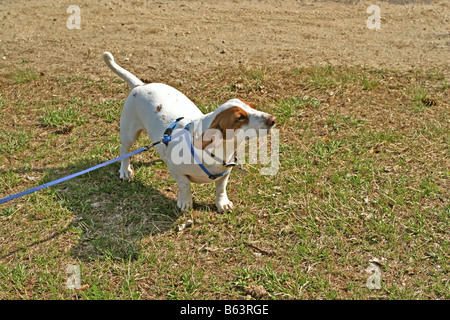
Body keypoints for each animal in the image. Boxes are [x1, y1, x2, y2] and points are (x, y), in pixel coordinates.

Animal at [102, 52, 276, 212]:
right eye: (240, 117)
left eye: (253, 106)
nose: (273, 119)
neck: (219, 151)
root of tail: (140, 86)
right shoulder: (176, 170)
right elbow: (184, 185)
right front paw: (185, 202)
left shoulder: (225, 174)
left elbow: (221, 188)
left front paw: (222, 204)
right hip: (129, 133)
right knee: (125, 152)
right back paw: (125, 171)